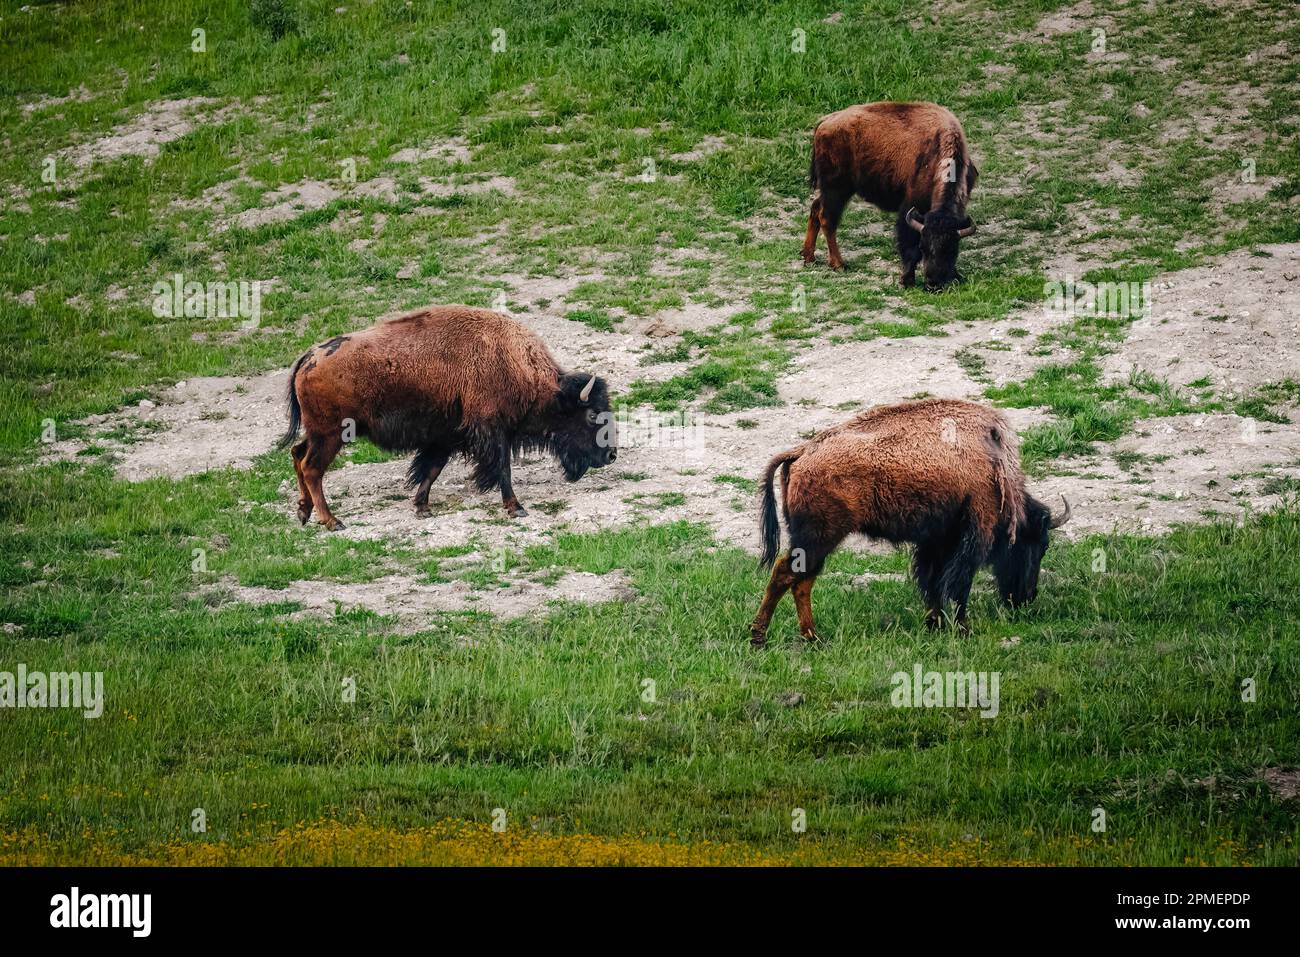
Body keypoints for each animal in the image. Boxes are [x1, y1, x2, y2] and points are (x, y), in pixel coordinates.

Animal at [279, 305, 616, 529]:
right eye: (591, 415)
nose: (611, 454)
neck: (511, 362)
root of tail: (308, 357)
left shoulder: (446, 436)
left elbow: (431, 470)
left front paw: (422, 508)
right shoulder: (493, 431)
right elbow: (502, 469)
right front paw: (516, 508)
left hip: (318, 433)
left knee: (297, 454)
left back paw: (304, 513)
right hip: (332, 434)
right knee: (311, 468)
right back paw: (332, 521)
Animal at [750, 398, 1070, 645]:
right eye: (1037, 545)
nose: (1026, 597)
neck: (994, 467)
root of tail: (802, 452)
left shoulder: (935, 540)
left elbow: (932, 581)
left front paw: (934, 623)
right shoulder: (972, 535)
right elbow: (958, 582)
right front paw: (962, 628)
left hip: (815, 542)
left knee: (802, 581)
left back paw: (812, 637)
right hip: (818, 538)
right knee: (786, 575)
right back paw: (760, 637)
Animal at [802, 101, 978, 290]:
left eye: (952, 250)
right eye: (923, 247)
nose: (933, 283)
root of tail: (825, 122)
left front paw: (956, 275)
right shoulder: (911, 207)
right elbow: (909, 245)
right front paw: (906, 280)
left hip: (836, 190)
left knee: (815, 208)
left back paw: (808, 257)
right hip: (836, 189)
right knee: (827, 219)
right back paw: (838, 264)